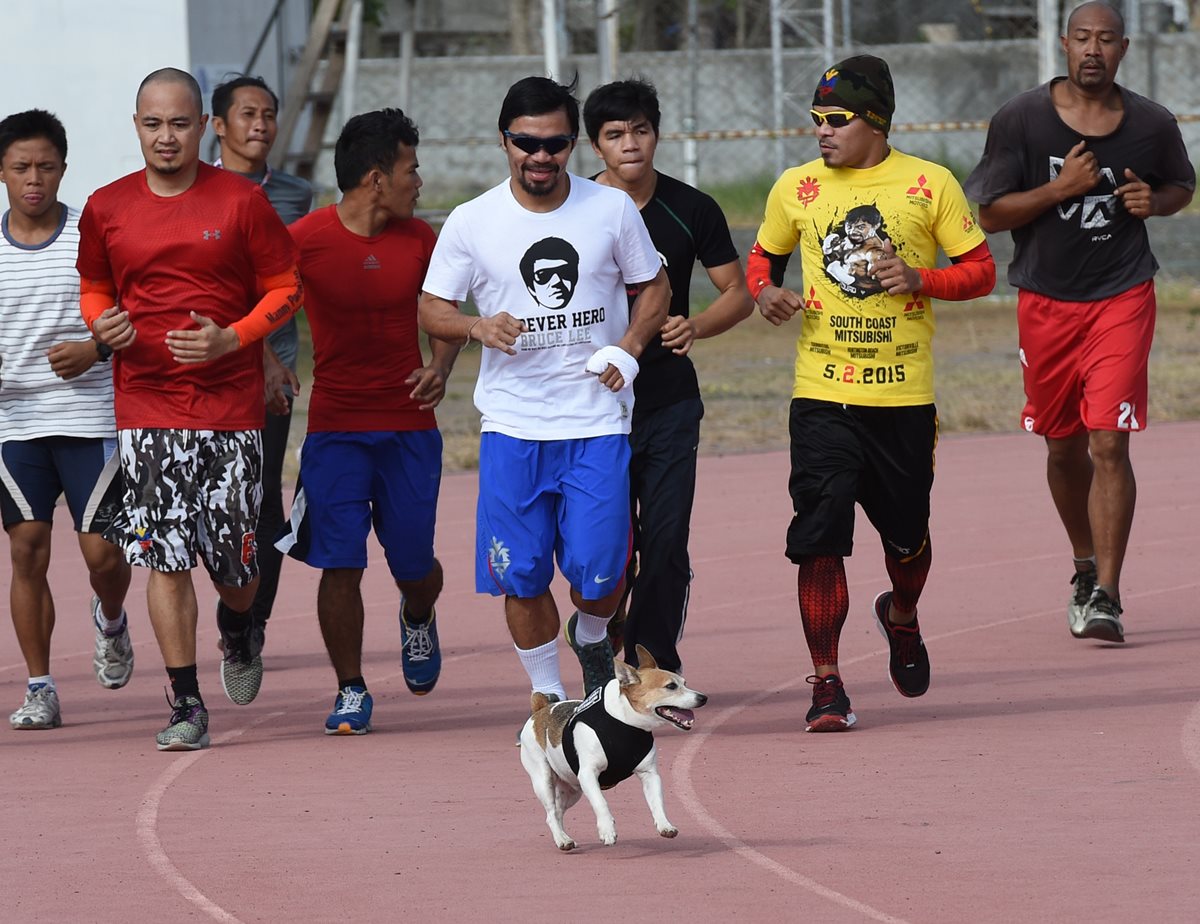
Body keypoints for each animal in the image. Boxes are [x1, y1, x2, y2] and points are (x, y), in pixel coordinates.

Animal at [516, 643, 700, 849]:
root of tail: (540, 709)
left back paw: (564, 837)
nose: (703, 698)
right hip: (543, 779)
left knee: (556, 812)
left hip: (572, 790)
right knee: (550, 813)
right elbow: (600, 803)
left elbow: (657, 802)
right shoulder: (588, 774)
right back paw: (562, 839)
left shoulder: (650, 775)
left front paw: (664, 824)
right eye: (671, 686)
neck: (626, 723)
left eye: (685, 683)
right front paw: (607, 829)